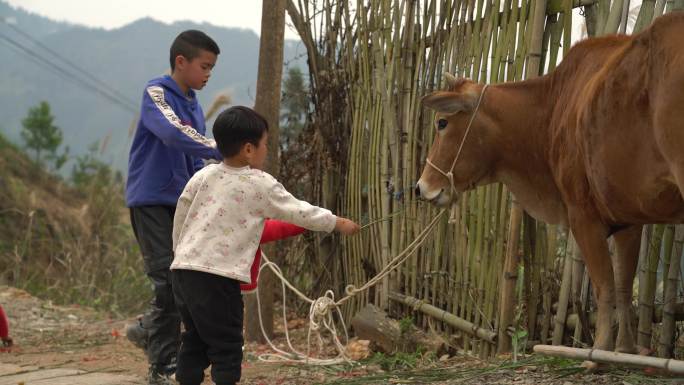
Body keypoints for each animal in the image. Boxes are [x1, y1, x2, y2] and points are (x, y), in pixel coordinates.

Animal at [416, 11, 684, 360]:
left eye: (442, 123)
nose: (421, 187)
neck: (551, 107)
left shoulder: (582, 216)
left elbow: (605, 286)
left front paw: (599, 352)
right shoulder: (629, 221)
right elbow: (624, 287)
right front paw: (623, 349)